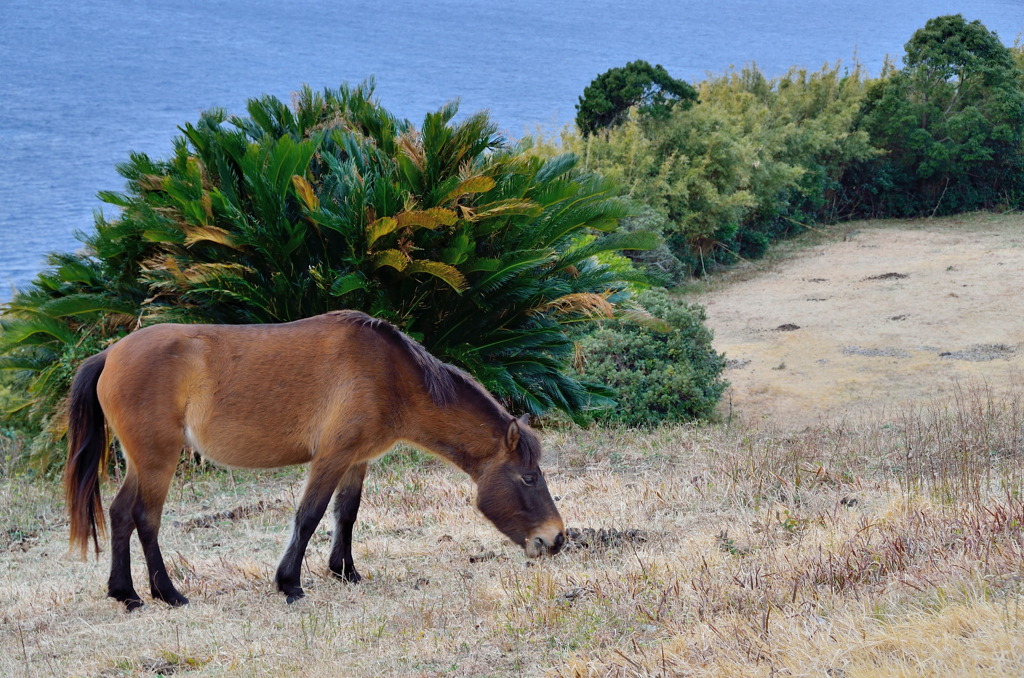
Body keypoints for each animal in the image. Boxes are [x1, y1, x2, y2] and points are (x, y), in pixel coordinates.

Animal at [64, 311, 565, 614]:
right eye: (528, 477)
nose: (556, 539)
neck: (390, 373)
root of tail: (110, 354)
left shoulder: (356, 461)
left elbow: (347, 514)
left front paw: (345, 571)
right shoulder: (332, 457)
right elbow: (310, 515)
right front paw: (290, 583)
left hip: (143, 463)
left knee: (120, 514)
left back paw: (126, 594)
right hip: (157, 462)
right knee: (144, 518)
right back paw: (167, 594)